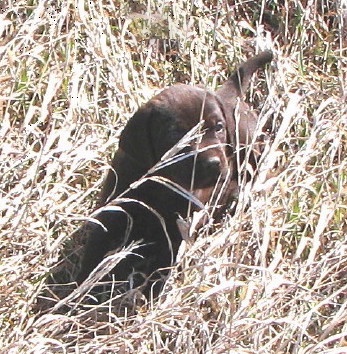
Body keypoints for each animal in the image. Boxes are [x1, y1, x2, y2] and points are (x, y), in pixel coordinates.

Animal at [77, 51, 274, 298]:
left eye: (218, 127)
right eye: (176, 134)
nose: (214, 164)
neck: (161, 185)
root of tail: (227, 95)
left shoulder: (178, 231)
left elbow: (164, 267)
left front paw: (151, 297)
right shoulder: (112, 214)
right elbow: (92, 255)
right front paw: (76, 293)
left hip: (248, 145)